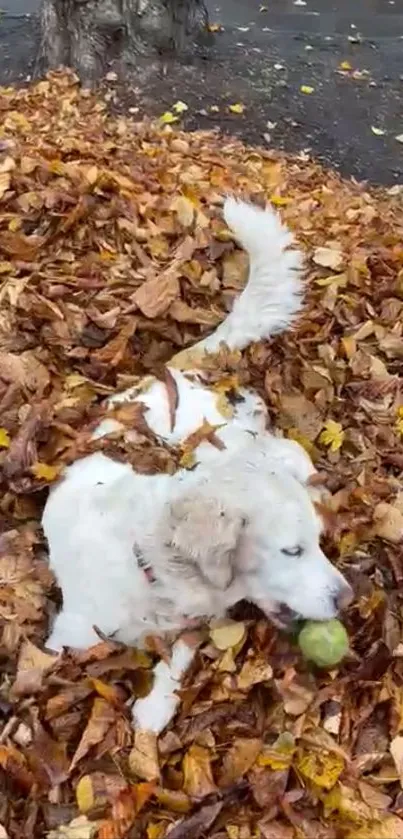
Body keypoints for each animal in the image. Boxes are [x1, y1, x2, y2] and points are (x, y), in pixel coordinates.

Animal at [42, 197, 354, 736]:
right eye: (292, 550)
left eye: (314, 545)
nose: (347, 598)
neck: (151, 566)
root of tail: (179, 367)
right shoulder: (69, 636)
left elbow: (179, 659)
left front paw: (154, 707)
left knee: (284, 448)